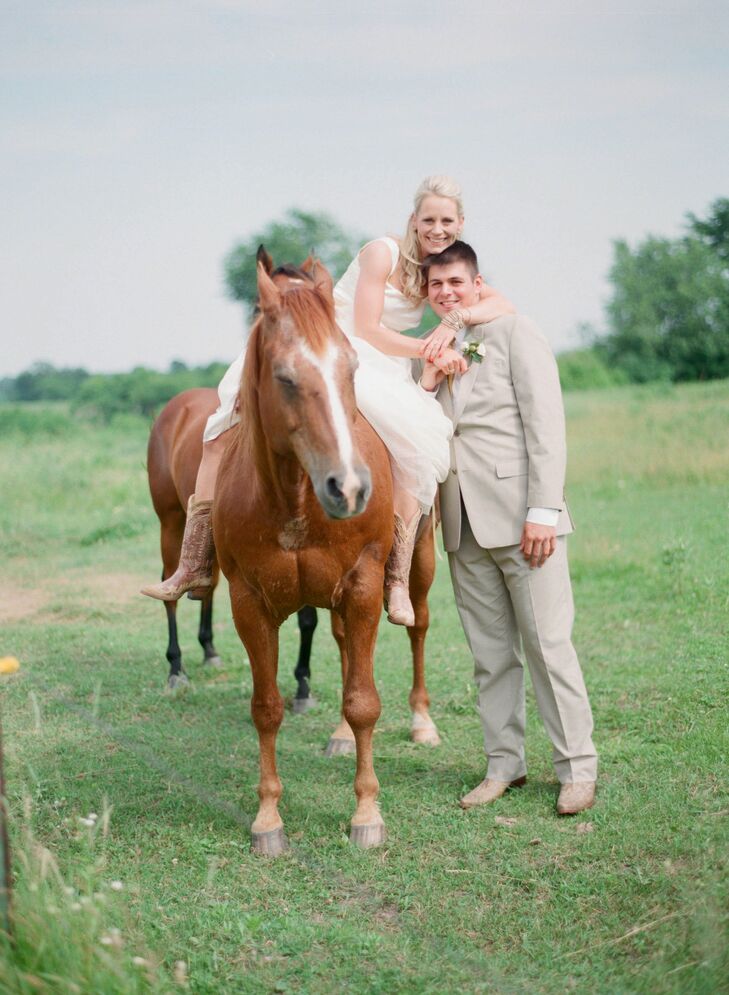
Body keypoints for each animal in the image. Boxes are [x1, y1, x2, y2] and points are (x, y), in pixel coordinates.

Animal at [213, 253, 396, 852]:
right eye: (285, 378)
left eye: (351, 369)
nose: (350, 488)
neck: (295, 503)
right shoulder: (249, 602)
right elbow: (266, 708)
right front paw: (268, 821)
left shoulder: (363, 587)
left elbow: (363, 702)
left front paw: (367, 815)